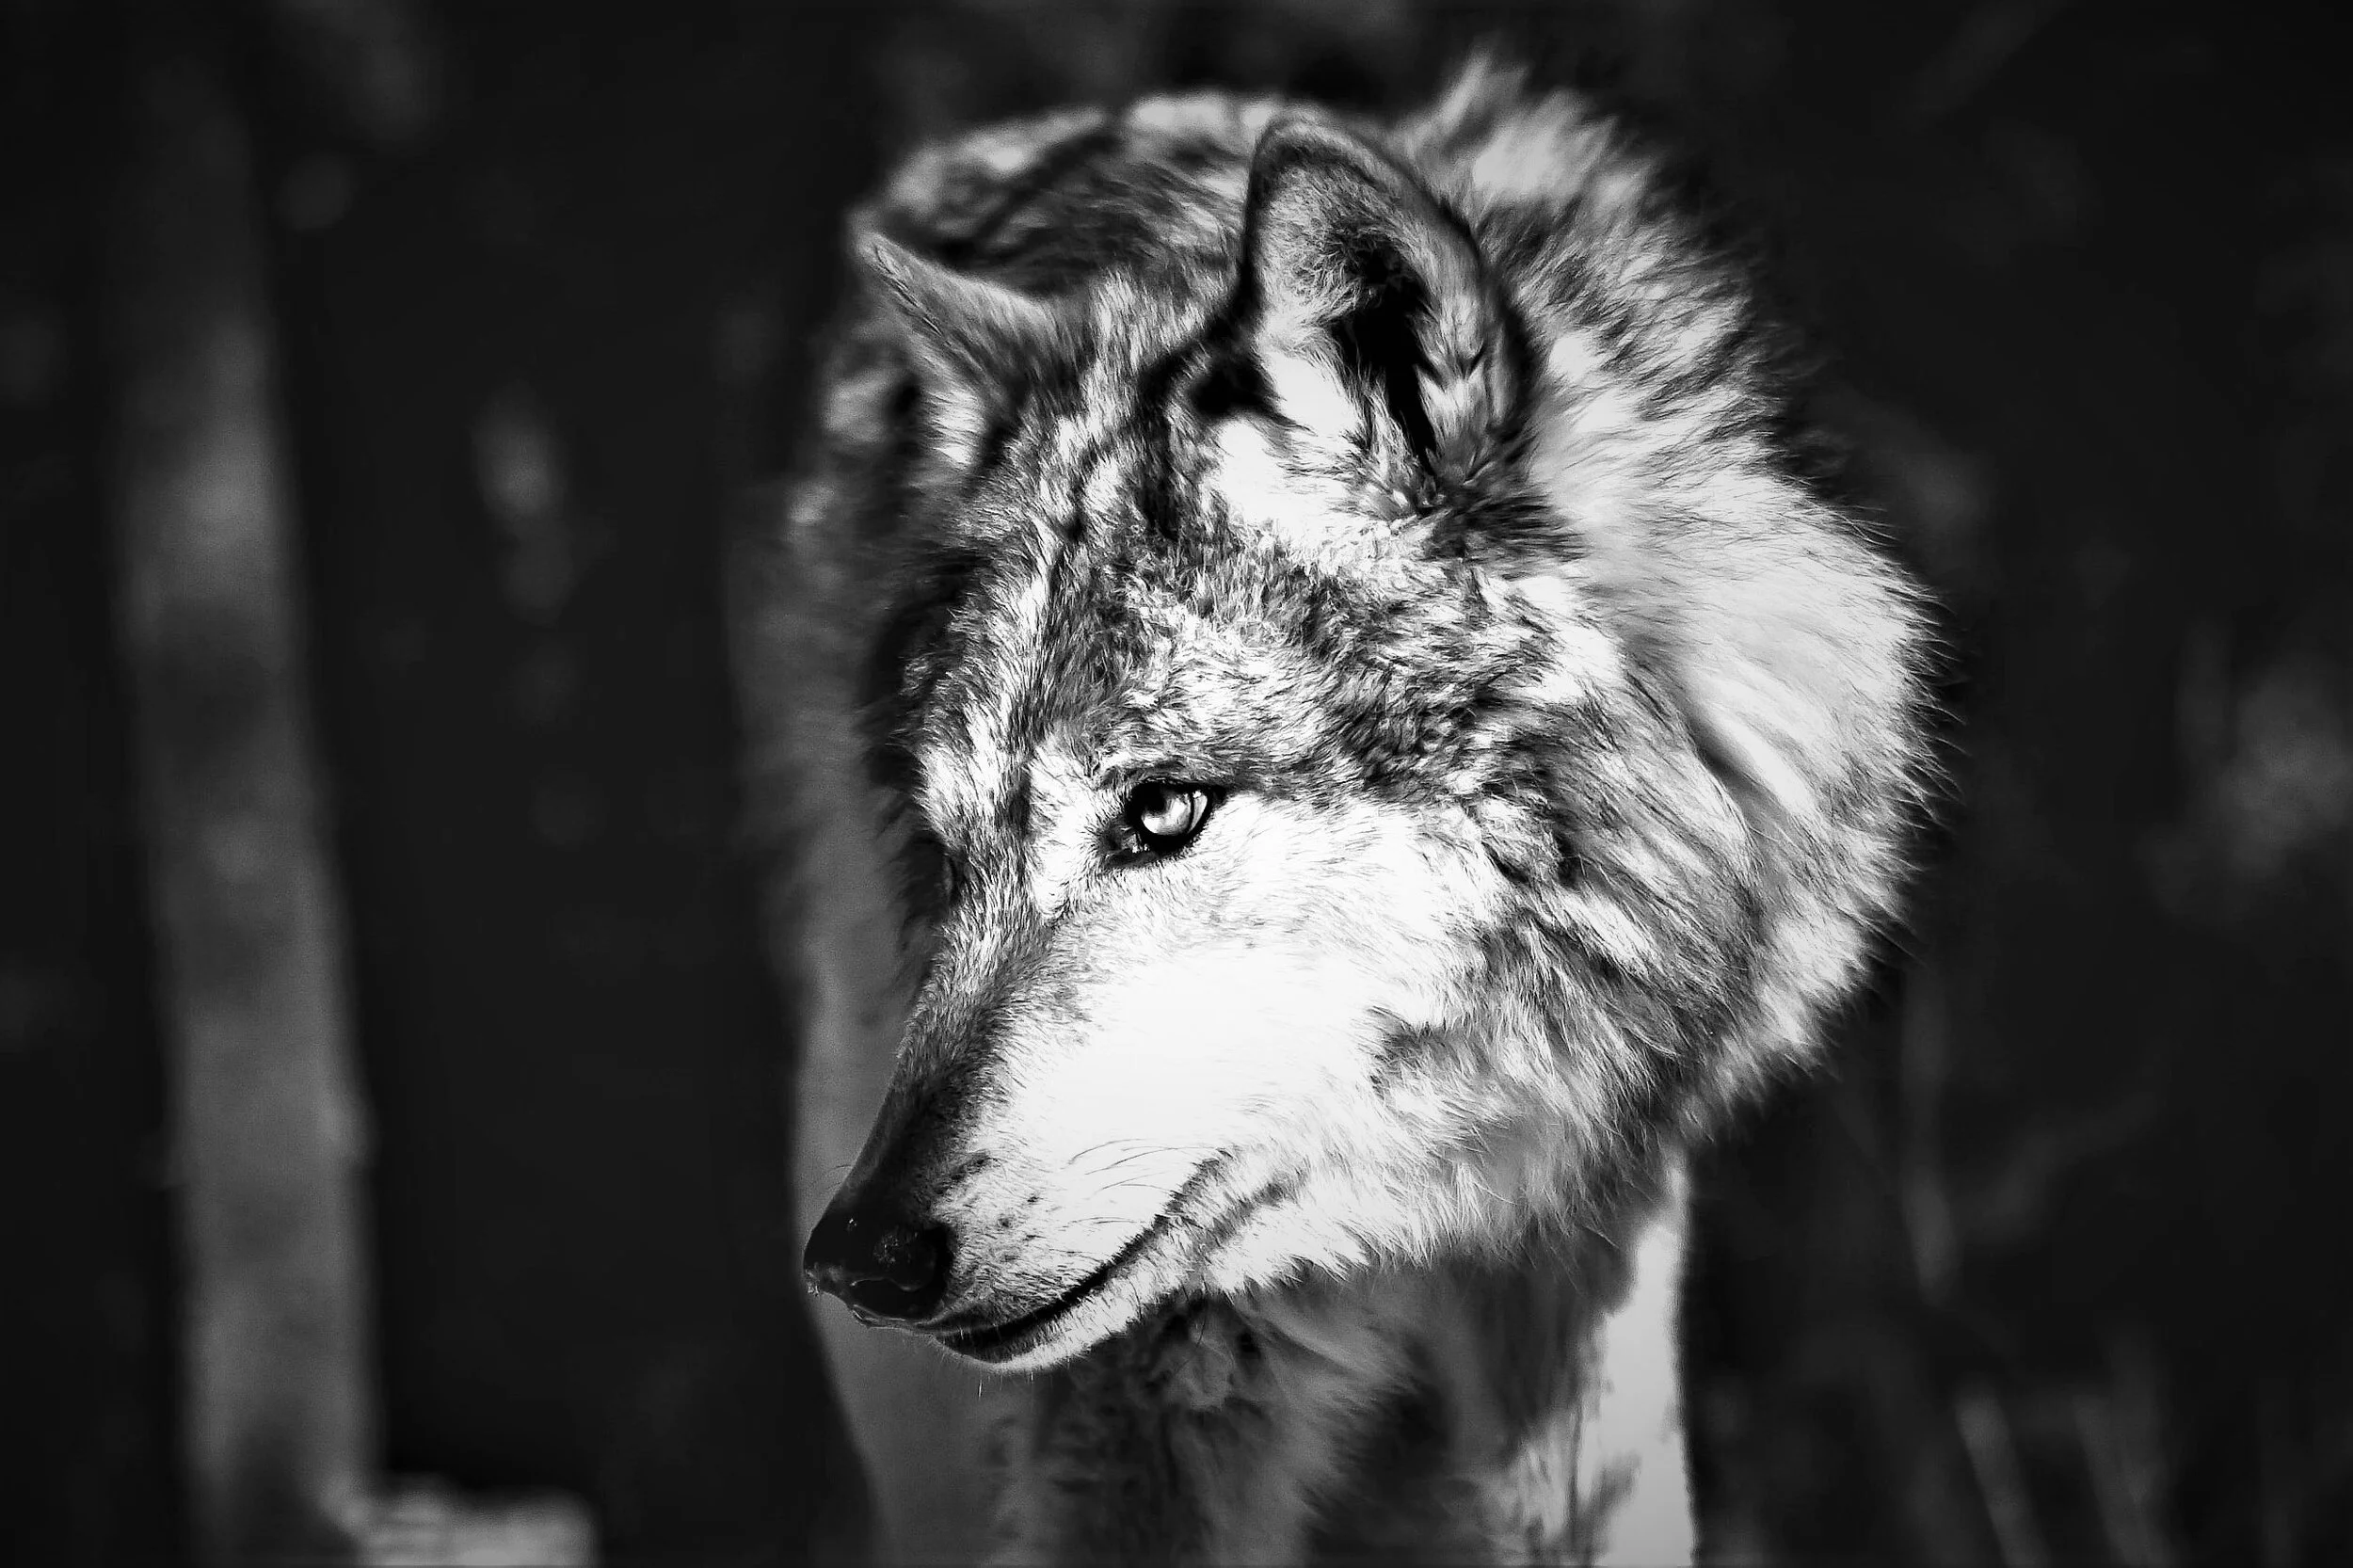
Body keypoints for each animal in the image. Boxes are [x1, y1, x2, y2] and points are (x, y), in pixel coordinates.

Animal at [737, 57, 1933, 1565]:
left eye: (1164, 810)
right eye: (952, 856)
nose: (859, 1256)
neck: (1422, 1208)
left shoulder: (1593, 1281)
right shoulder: (1160, 1373)